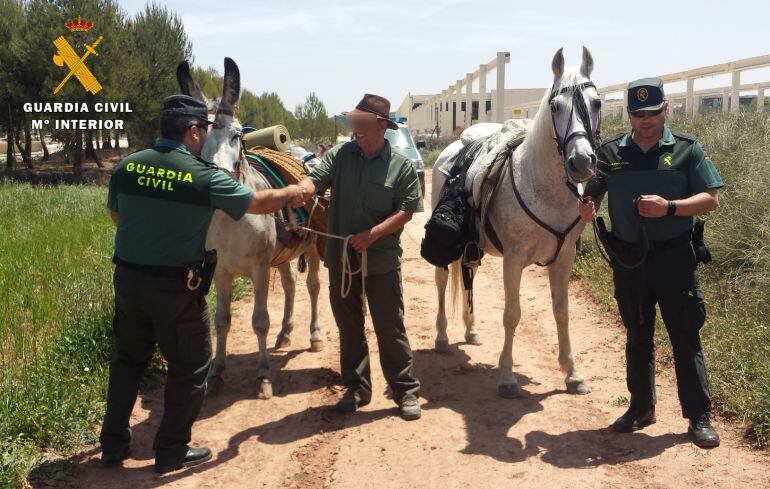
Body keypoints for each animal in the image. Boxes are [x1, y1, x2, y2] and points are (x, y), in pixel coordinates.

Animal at [176, 59, 320, 398]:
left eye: (237, 135)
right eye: (196, 136)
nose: (217, 181)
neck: (230, 220)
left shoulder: (259, 269)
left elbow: (259, 321)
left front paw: (264, 376)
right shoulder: (221, 271)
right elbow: (221, 322)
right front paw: (216, 373)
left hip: (311, 248)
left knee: (313, 287)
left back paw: (314, 335)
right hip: (283, 255)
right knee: (291, 285)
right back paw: (285, 333)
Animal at [432, 47, 600, 396]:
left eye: (597, 103)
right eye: (555, 105)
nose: (580, 162)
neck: (544, 188)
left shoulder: (564, 259)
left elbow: (562, 313)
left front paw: (572, 374)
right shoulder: (513, 260)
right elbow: (512, 314)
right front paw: (507, 377)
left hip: (473, 248)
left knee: (468, 274)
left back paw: (471, 330)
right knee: (442, 282)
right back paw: (441, 336)